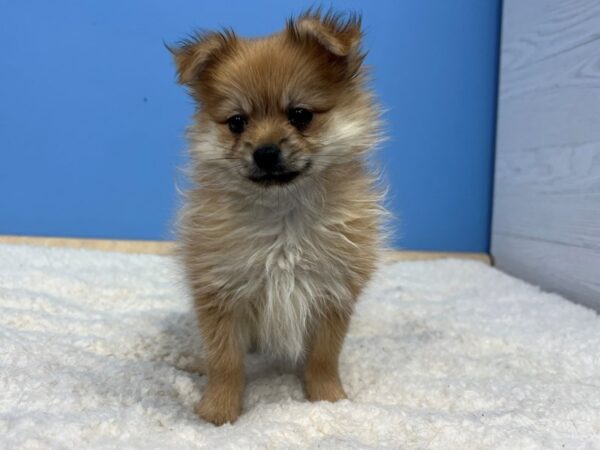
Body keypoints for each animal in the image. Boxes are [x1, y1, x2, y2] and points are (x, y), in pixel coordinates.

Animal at [170, 10, 384, 426]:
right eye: (237, 122)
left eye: (300, 115)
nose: (266, 152)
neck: (283, 214)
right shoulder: (221, 293)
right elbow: (225, 361)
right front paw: (217, 411)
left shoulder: (332, 292)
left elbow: (323, 356)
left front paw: (329, 399)